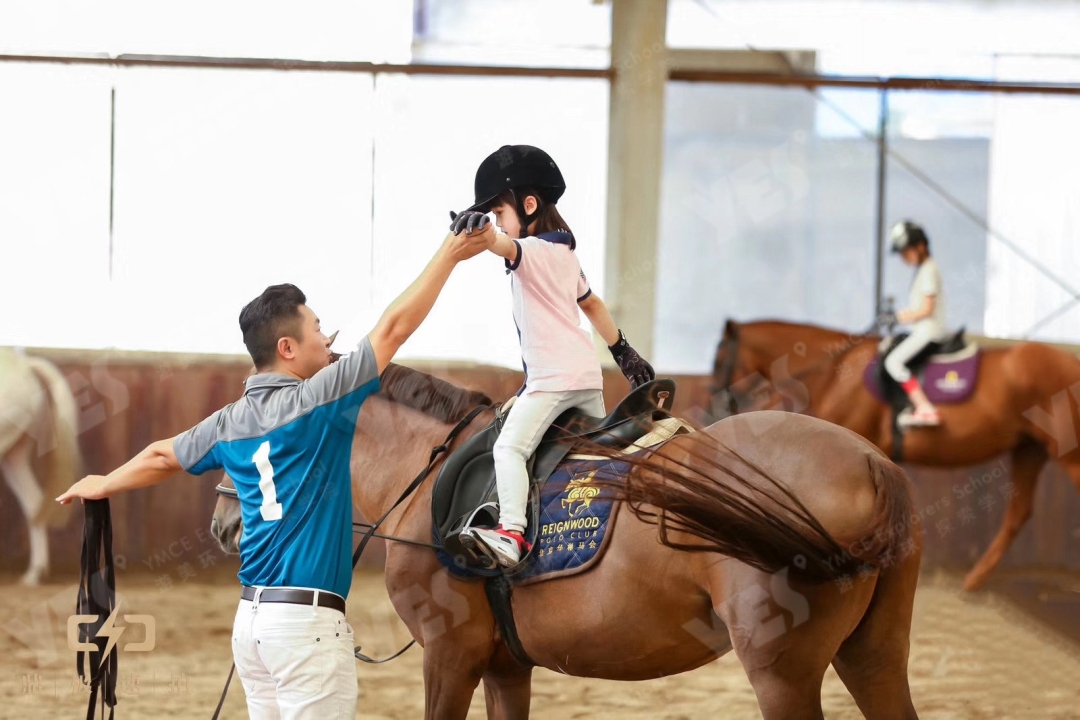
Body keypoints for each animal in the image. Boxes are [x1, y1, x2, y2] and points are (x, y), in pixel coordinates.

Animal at [212, 367, 920, 720]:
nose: (223, 522)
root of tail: (870, 461)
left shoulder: (449, 653)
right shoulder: (504, 665)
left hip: (782, 675)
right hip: (873, 656)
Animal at [712, 321, 1080, 591]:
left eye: (718, 359)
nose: (718, 402)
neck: (835, 370)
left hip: (1067, 454)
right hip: (1029, 450)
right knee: (1017, 514)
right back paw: (972, 582)